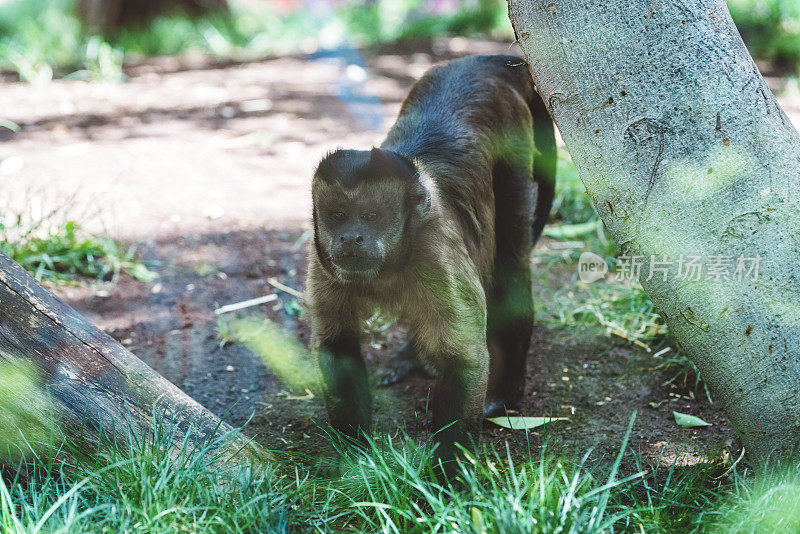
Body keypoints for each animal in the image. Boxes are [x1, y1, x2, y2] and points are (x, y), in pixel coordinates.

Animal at [306, 55, 556, 464]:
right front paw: (354, 456)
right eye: (338, 215)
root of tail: (484, 62)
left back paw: (505, 396)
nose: (351, 237)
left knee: (509, 262)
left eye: (372, 216)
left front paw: (444, 475)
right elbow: (336, 345)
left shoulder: (435, 250)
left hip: (513, 138)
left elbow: (464, 360)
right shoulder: (322, 255)